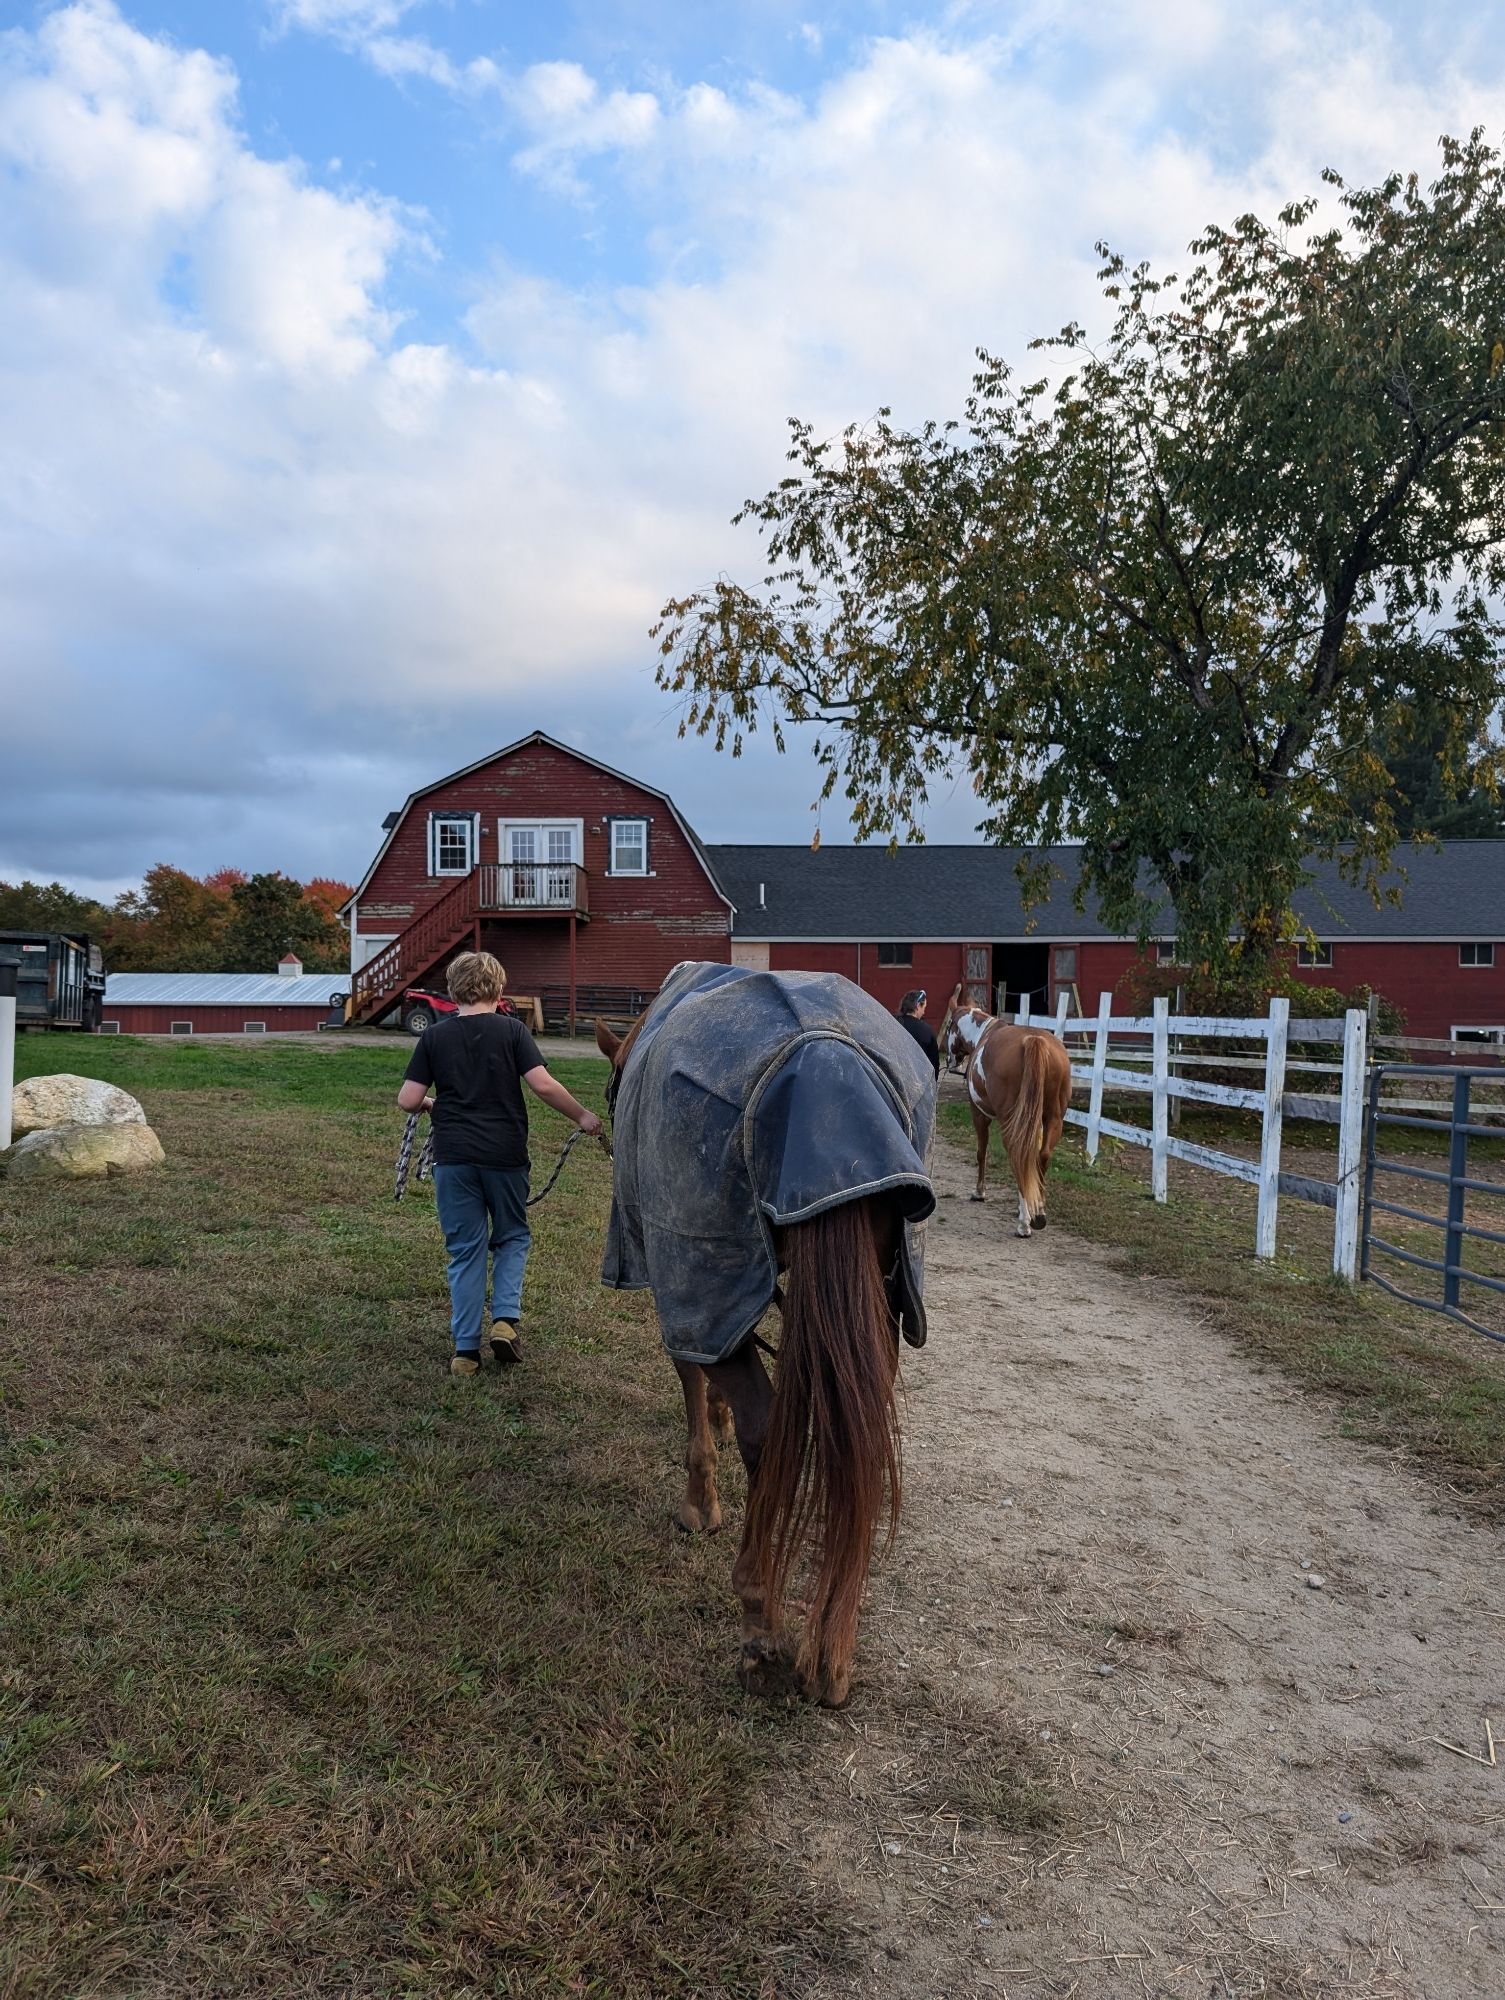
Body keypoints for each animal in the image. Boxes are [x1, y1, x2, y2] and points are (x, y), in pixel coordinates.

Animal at [596, 964, 928, 1704]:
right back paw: (832, 1646)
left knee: (769, 1431)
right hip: (879, 1302)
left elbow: (694, 1382)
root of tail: (824, 1056)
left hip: (705, 1267)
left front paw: (700, 1503)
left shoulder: (692, 1294)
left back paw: (762, 1624)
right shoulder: (731, 1300)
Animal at [940, 984, 1072, 1232]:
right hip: (1053, 1118)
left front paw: (979, 1192)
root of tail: (1034, 1041)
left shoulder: (979, 1113)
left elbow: (981, 1151)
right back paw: (1038, 1213)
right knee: (1042, 1156)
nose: (952, 1061)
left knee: (1018, 1156)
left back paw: (1024, 1222)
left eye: (950, 1026)